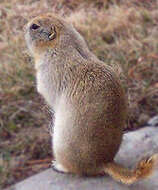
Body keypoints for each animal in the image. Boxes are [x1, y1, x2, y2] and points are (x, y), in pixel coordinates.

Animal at [24, 13, 157, 186]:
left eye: (35, 26)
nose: (24, 26)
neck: (65, 43)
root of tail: (104, 161)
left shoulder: (47, 71)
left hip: (60, 144)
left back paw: (58, 166)